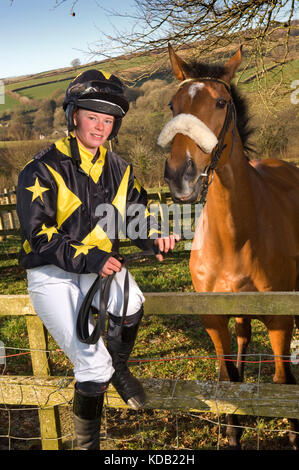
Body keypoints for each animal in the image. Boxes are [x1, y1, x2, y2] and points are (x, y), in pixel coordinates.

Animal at [157, 45, 299, 452]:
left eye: (220, 102)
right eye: (173, 106)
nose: (181, 176)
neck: (236, 236)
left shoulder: (281, 320)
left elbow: (283, 382)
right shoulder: (215, 320)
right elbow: (229, 378)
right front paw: (234, 432)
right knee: (242, 346)